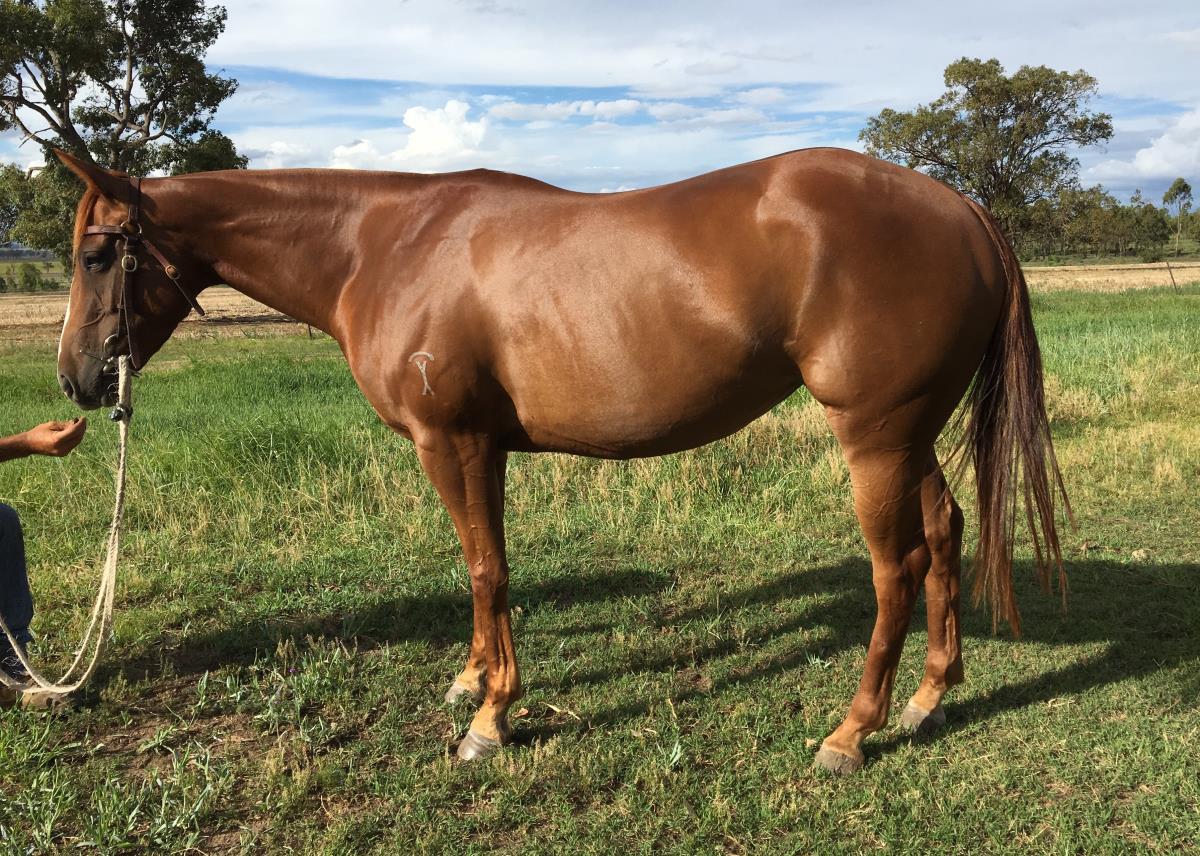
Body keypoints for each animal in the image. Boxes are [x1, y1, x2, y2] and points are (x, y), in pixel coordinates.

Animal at [53, 146, 1067, 773]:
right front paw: (471, 680)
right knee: (945, 535)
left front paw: (491, 719)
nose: (76, 379)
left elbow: (486, 569)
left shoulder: (454, 444)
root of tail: (960, 207)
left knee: (897, 566)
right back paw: (929, 699)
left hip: (875, 438)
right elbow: (480, 569)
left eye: (99, 255)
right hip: (910, 435)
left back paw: (852, 733)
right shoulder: (482, 450)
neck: (385, 245)